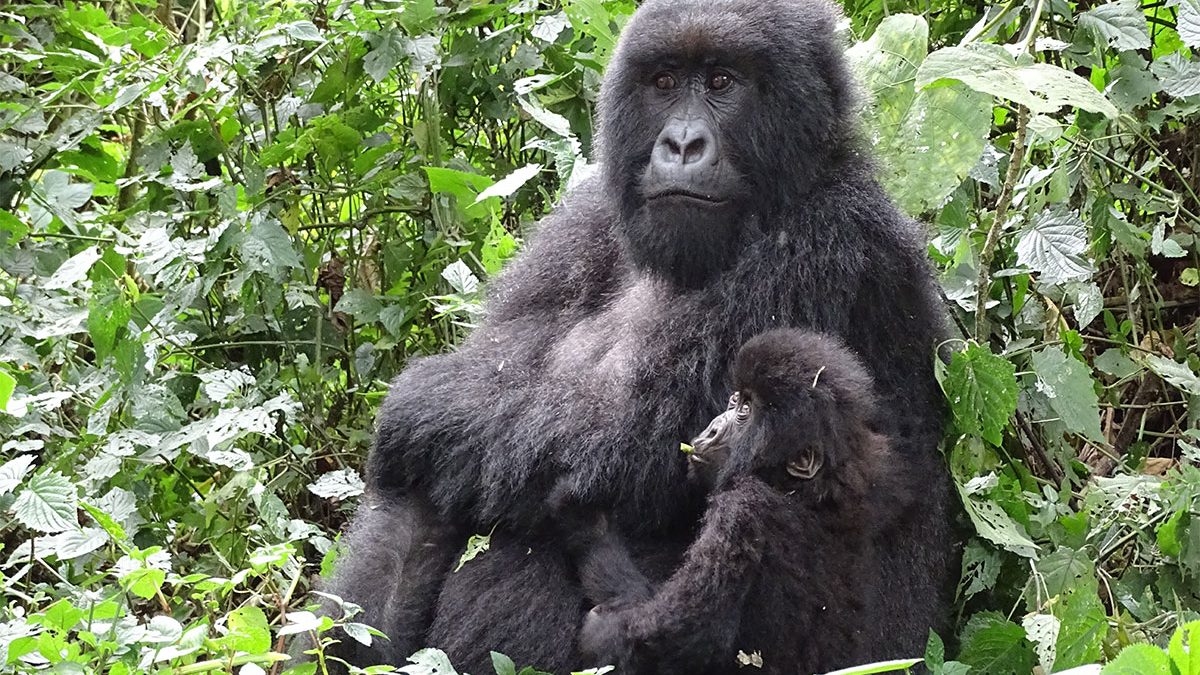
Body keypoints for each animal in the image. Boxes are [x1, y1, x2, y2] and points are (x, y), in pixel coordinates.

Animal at [561, 329, 907, 667]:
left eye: (745, 411)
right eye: (735, 399)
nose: (712, 429)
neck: (802, 489)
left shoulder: (742, 510)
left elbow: (678, 631)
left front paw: (588, 527)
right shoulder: (871, 469)